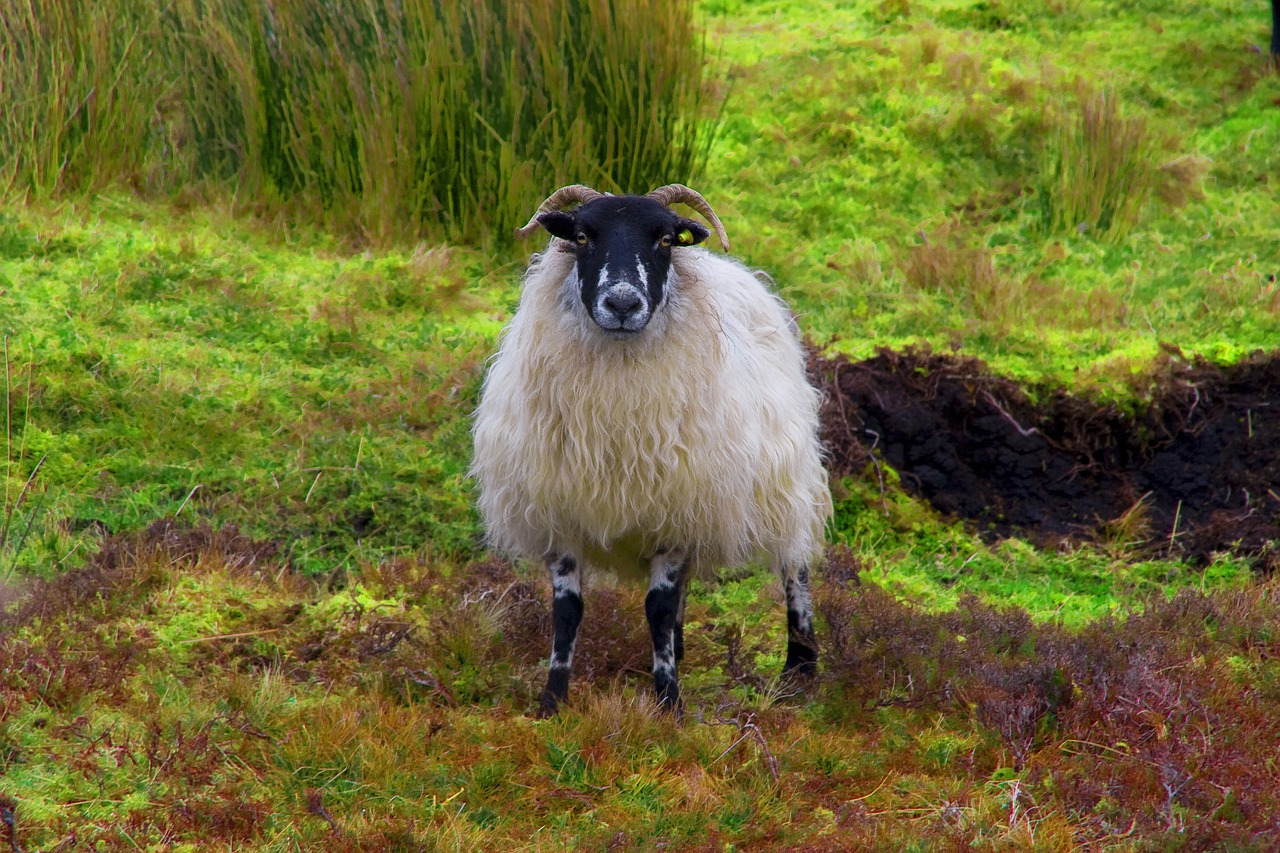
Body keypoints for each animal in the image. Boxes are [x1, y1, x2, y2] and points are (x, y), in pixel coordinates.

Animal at [471, 184, 829, 712]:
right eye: (581, 235)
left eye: (664, 239)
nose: (622, 303)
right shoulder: (561, 510)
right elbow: (567, 611)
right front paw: (552, 701)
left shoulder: (677, 508)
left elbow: (657, 607)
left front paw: (669, 704)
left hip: (784, 477)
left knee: (794, 564)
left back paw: (800, 665)